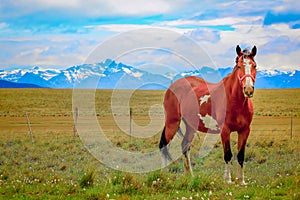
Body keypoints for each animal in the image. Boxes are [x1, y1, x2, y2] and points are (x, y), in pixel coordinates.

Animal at [159, 45, 258, 184]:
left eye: (254, 65)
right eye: (239, 66)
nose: (248, 90)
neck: (235, 100)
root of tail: (171, 87)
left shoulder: (244, 130)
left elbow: (241, 155)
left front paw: (241, 181)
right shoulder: (225, 130)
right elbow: (228, 155)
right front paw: (228, 180)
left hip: (190, 126)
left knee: (185, 146)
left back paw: (189, 176)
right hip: (172, 122)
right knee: (163, 144)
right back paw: (162, 175)